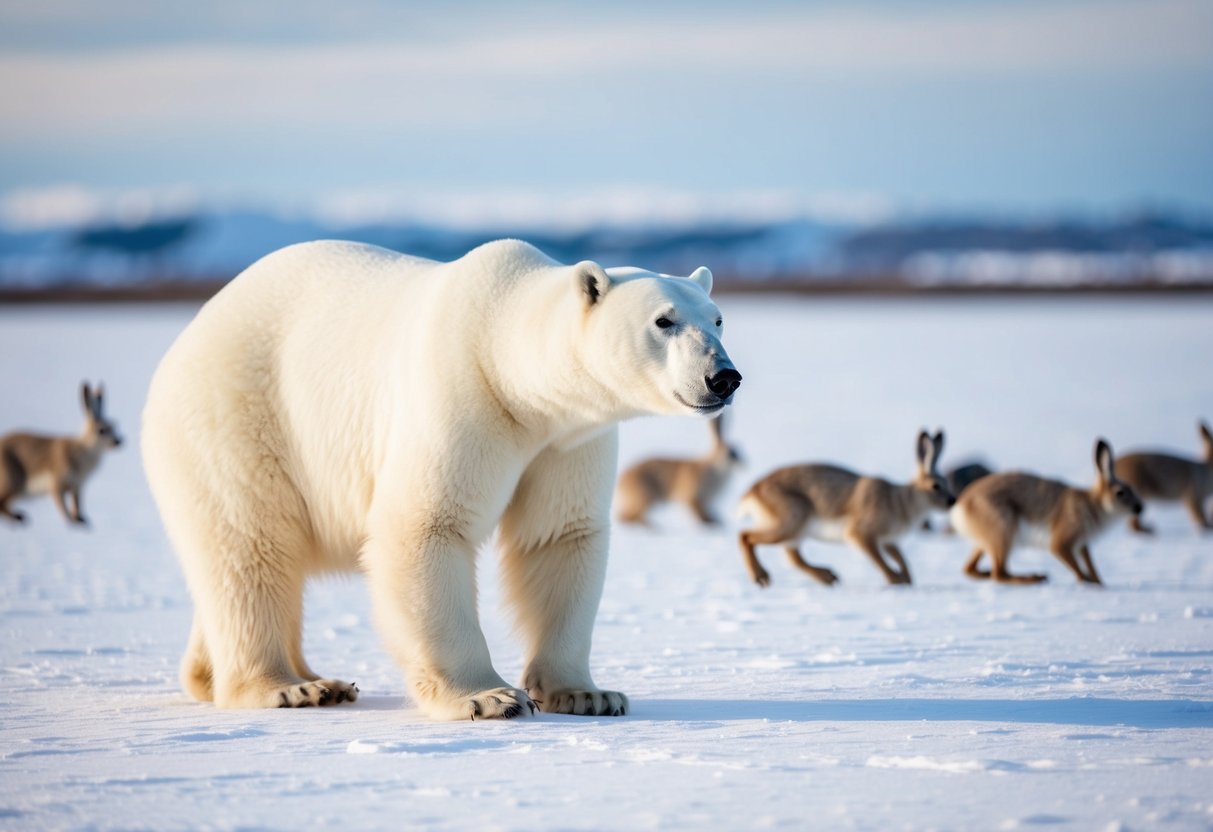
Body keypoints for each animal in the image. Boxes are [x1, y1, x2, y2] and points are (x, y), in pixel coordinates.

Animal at [142, 239, 741, 720]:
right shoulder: (462, 397)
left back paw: (287, 679)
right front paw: (487, 697)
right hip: (239, 421)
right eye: (663, 320)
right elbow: (426, 527)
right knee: (251, 546)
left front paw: (588, 694)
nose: (724, 376)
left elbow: (560, 537)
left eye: (717, 319)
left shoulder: (568, 441)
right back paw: (289, 687)